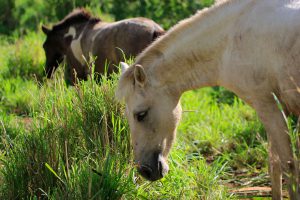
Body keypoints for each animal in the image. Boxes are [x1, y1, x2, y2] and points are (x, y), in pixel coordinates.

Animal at [116, 0, 300, 199]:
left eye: (140, 115)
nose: (145, 171)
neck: (230, 41)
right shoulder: (274, 109)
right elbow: (275, 165)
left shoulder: (267, 106)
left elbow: (289, 166)